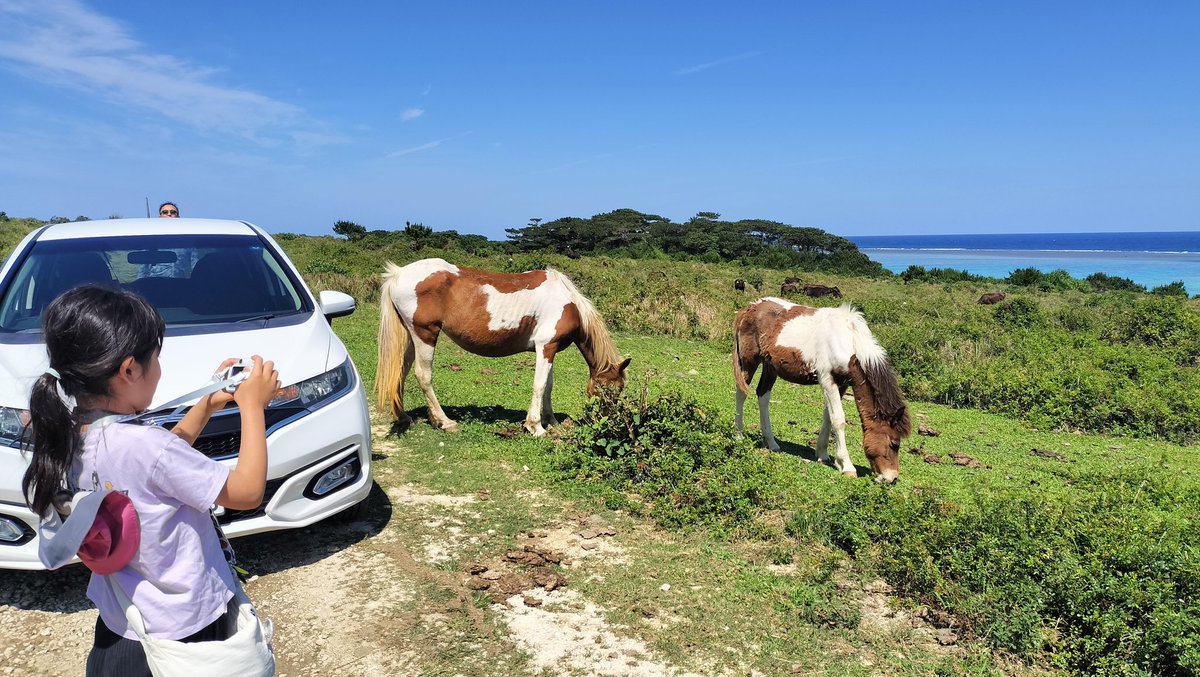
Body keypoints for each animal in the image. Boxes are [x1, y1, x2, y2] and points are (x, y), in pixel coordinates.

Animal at [377, 258, 630, 436]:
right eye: (608, 389)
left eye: (619, 389)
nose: (606, 422)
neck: (569, 303)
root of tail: (399, 273)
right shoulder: (546, 346)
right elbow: (539, 386)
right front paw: (535, 427)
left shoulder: (550, 349)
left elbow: (548, 386)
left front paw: (552, 422)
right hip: (425, 334)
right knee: (423, 375)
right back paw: (445, 421)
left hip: (412, 337)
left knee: (401, 372)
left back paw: (404, 417)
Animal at [733, 297, 911, 482]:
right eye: (894, 444)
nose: (892, 479)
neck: (847, 341)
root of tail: (749, 308)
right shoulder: (827, 380)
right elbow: (838, 419)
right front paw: (847, 466)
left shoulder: (842, 384)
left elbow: (828, 417)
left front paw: (823, 455)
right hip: (749, 361)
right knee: (741, 393)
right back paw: (738, 435)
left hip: (770, 367)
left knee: (763, 396)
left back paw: (772, 443)